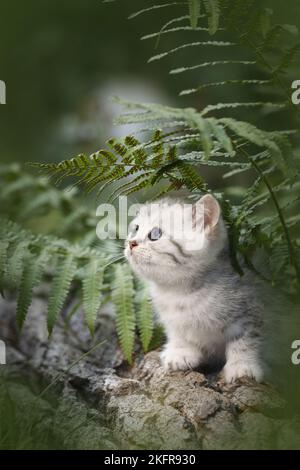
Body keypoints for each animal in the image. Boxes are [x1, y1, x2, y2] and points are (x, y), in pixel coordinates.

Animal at [124, 195, 264, 382]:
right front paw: (180, 352)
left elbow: (246, 339)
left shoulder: (252, 309)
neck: (179, 293)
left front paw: (242, 366)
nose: (131, 243)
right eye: (136, 229)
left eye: (155, 234)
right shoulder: (173, 319)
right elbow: (179, 333)